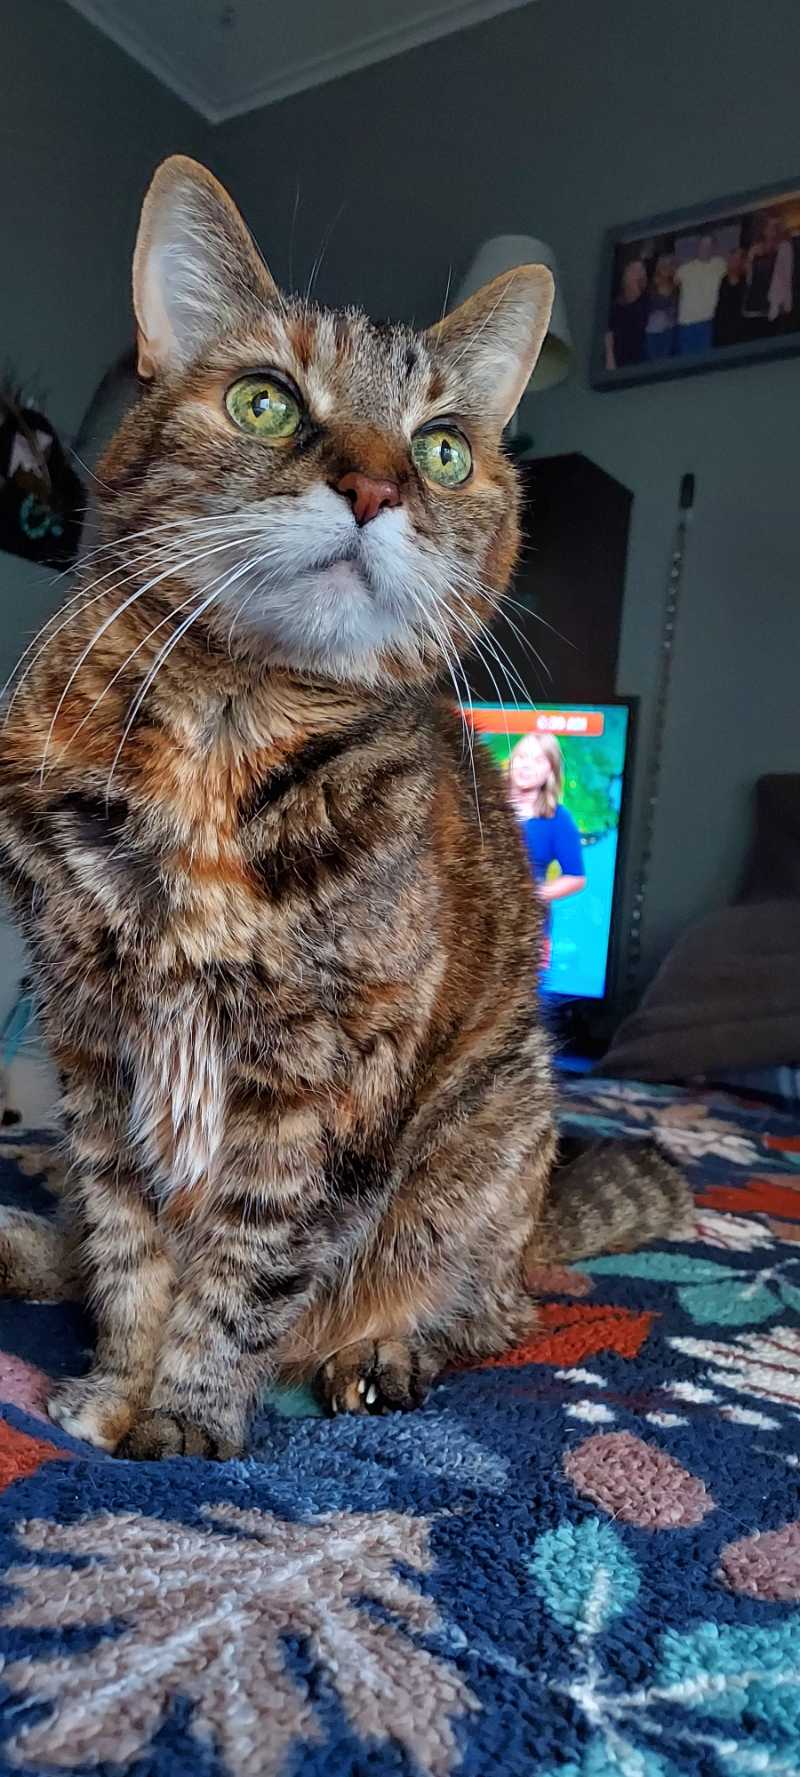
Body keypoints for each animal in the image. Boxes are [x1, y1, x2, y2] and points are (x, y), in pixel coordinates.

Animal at [0, 157, 690, 1459]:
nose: (374, 485)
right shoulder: (94, 1042)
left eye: (443, 451)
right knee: (76, 1233)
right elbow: (126, 1247)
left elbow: (239, 1272)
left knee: (490, 1304)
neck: (224, 738)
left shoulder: (323, 1084)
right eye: (266, 402)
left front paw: (183, 1415)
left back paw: (384, 1346)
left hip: (488, 1136)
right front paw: (116, 1385)